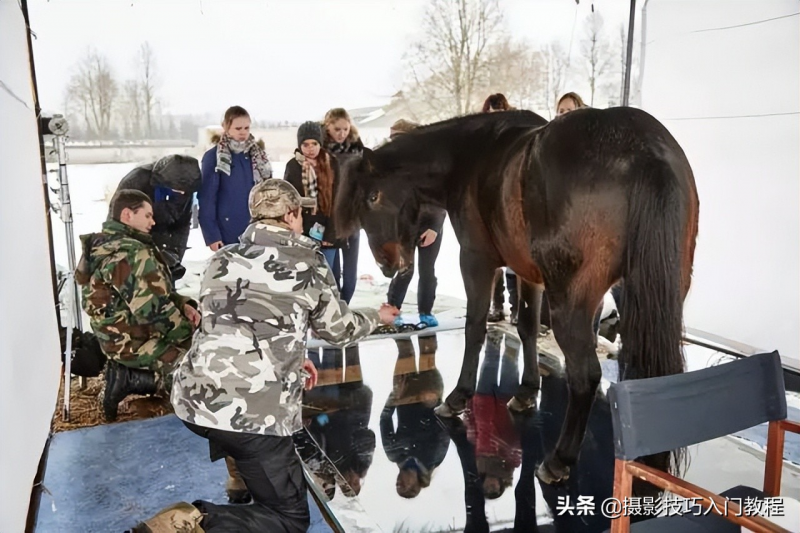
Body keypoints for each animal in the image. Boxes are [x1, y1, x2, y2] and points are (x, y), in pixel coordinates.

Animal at [338, 107, 700, 482]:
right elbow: (526, 326)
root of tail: (644, 152)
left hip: (572, 302)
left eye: (373, 197)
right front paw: (526, 391)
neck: (468, 156)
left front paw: (458, 397)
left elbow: (475, 327)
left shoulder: (476, 260)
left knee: (585, 376)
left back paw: (559, 459)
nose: (386, 264)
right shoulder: (527, 273)